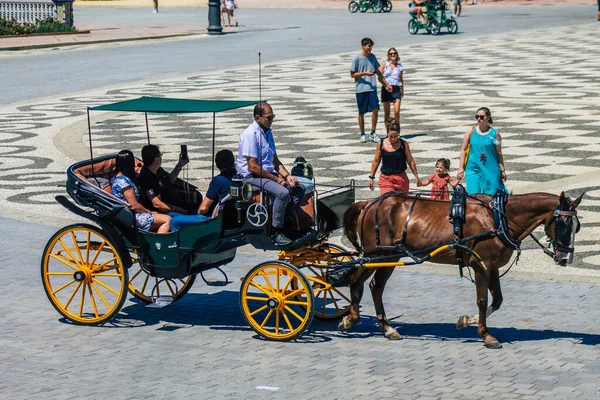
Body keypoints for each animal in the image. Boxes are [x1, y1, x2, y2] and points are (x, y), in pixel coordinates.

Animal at [342, 191, 580, 346]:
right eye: (562, 225)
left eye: (577, 227)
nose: (566, 258)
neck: (497, 218)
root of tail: (369, 202)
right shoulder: (481, 265)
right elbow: (482, 300)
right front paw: (485, 334)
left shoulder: (493, 267)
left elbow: (497, 300)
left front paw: (467, 321)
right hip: (376, 255)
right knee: (357, 281)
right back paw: (351, 319)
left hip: (390, 257)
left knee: (375, 286)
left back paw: (387, 328)